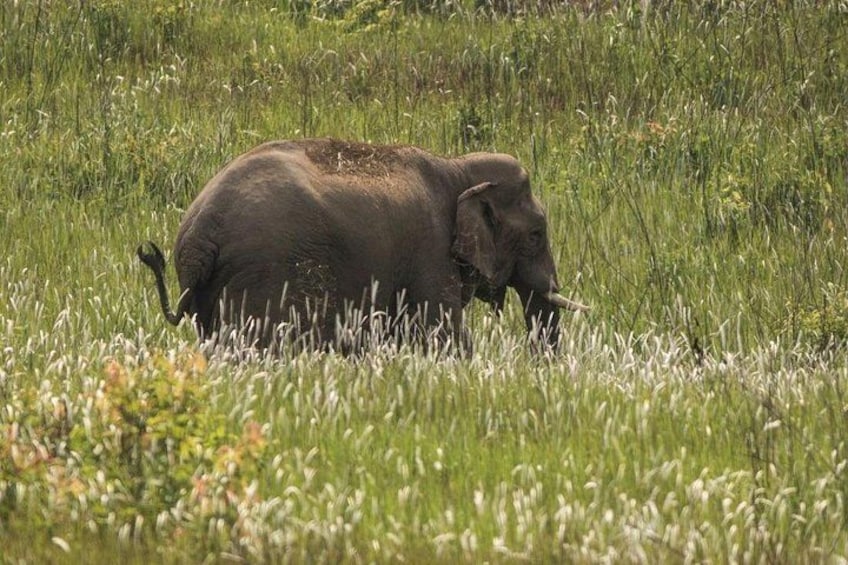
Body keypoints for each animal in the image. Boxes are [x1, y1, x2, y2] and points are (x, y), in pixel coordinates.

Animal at [137, 138, 588, 353]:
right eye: (537, 234)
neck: (456, 166)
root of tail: (199, 234)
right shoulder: (429, 250)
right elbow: (443, 335)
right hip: (261, 276)